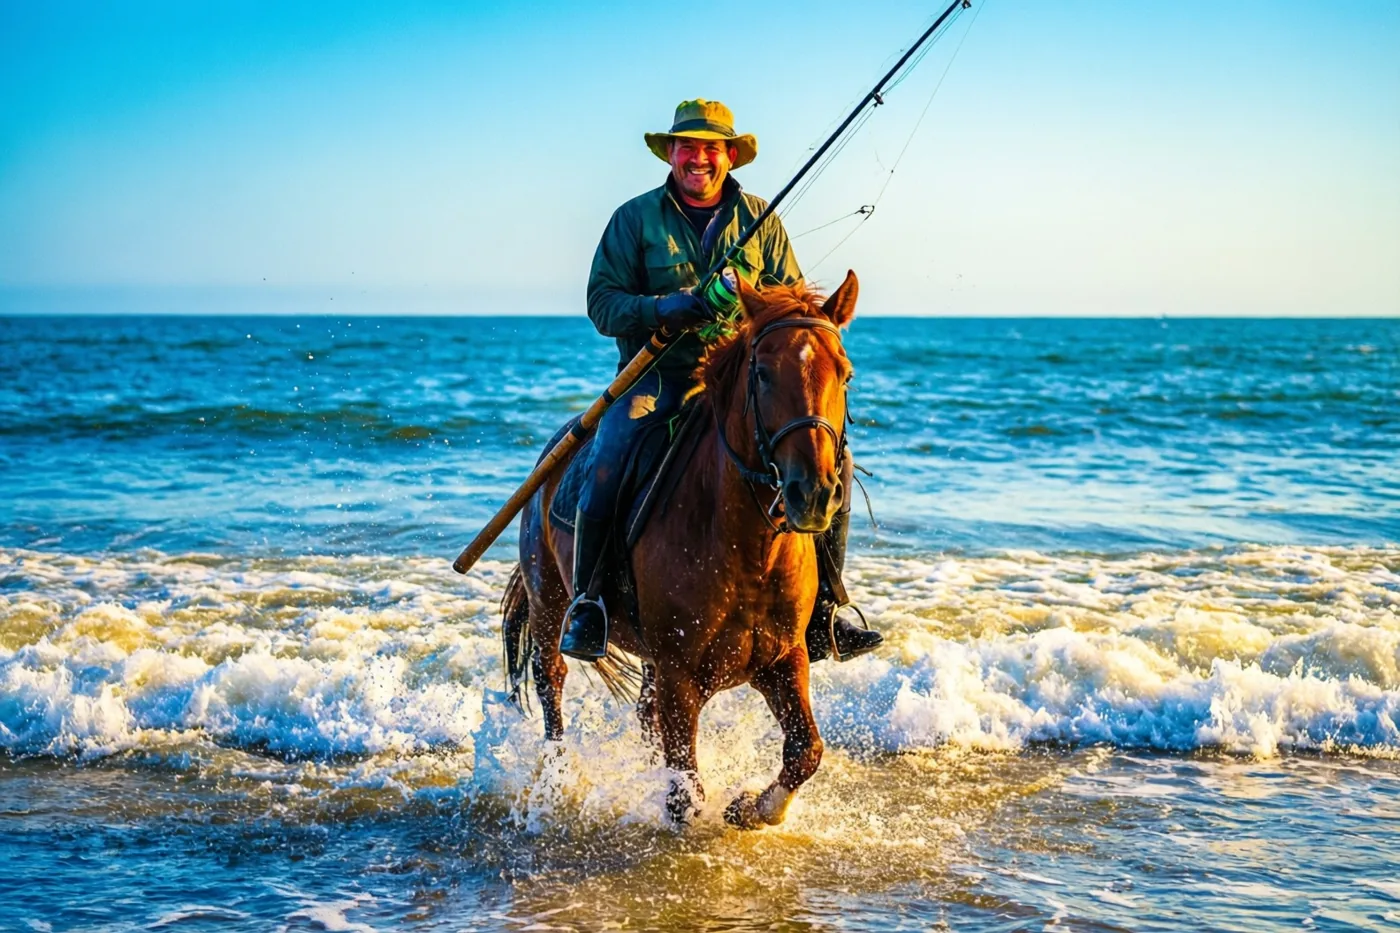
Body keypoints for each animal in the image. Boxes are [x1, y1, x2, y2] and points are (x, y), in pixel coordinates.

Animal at [498, 270, 860, 828]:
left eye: (844, 374)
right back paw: (557, 780)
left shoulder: (785, 658)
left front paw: (750, 808)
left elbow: (806, 751)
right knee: (550, 680)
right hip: (549, 600)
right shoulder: (679, 678)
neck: (749, 550)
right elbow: (684, 796)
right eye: (762, 374)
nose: (814, 494)